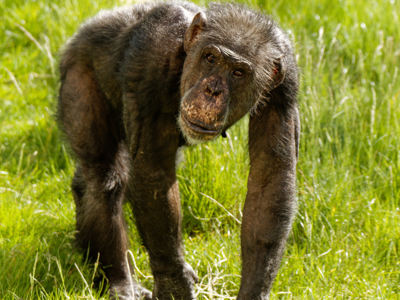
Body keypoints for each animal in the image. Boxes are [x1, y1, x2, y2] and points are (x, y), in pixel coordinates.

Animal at [57, 1, 298, 298]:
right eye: (210, 58)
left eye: (238, 72)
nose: (212, 90)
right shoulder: (151, 60)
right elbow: (153, 173)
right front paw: (175, 285)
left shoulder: (284, 88)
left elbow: (269, 182)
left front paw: (253, 291)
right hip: (79, 72)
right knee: (103, 176)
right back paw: (121, 282)